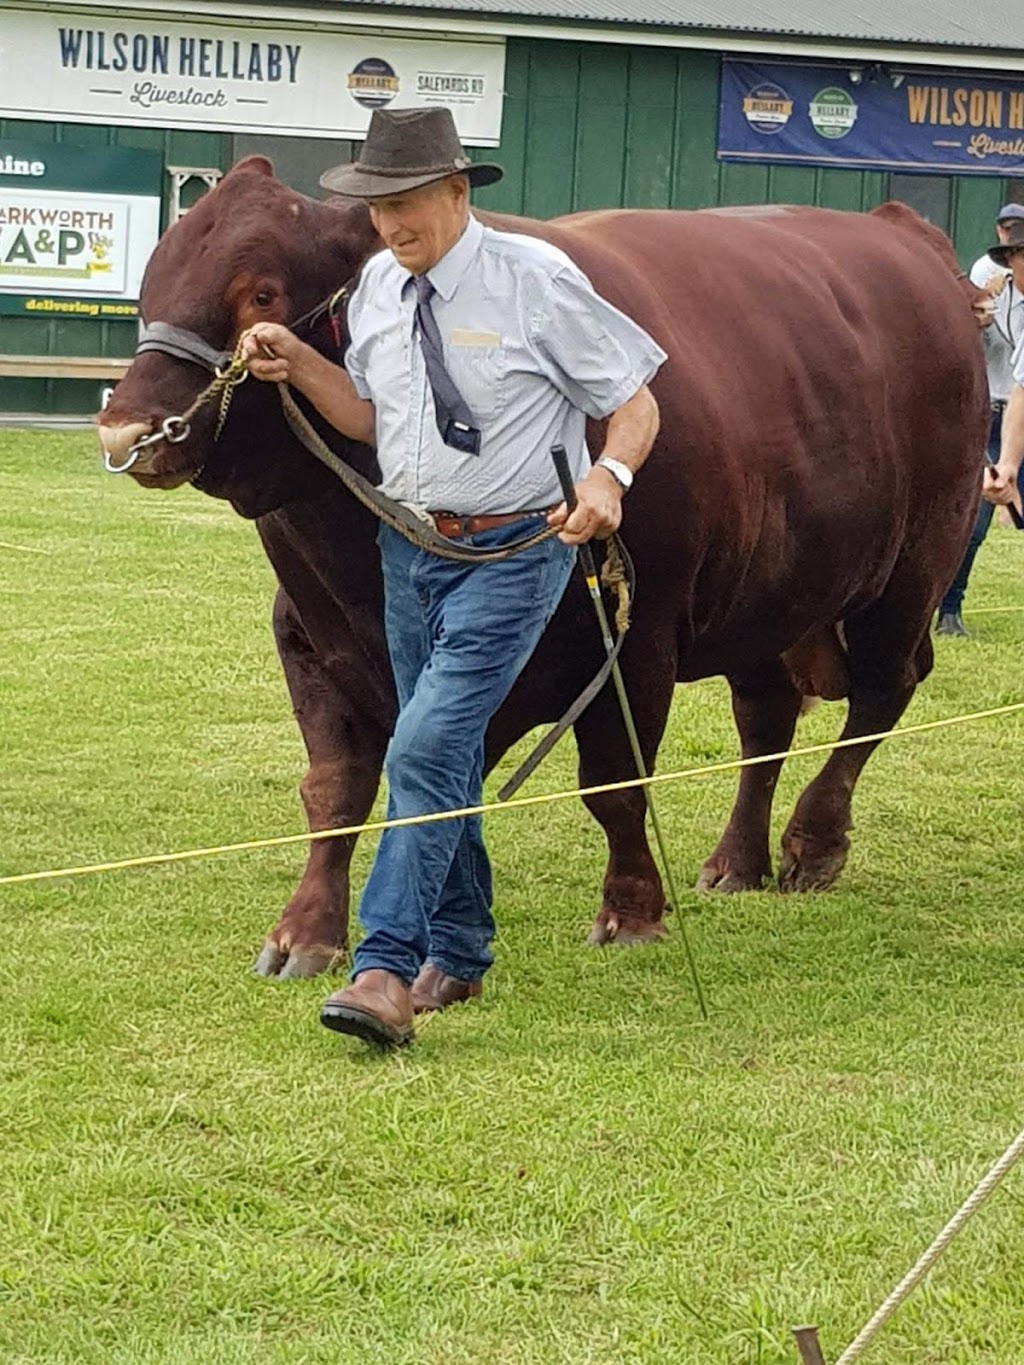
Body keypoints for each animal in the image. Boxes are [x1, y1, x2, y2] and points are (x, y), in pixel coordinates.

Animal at [100, 159, 988, 982]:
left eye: (262, 294)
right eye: (154, 282)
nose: (124, 430)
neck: (356, 561)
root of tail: (900, 230)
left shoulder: (636, 635)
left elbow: (615, 783)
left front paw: (631, 910)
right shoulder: (312, 640)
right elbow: (336, 790)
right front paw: (304, 932)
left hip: (908, 574)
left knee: (879, 694)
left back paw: (814, 841)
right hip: (768, 600)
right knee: (765, 719)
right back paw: (737, 862)